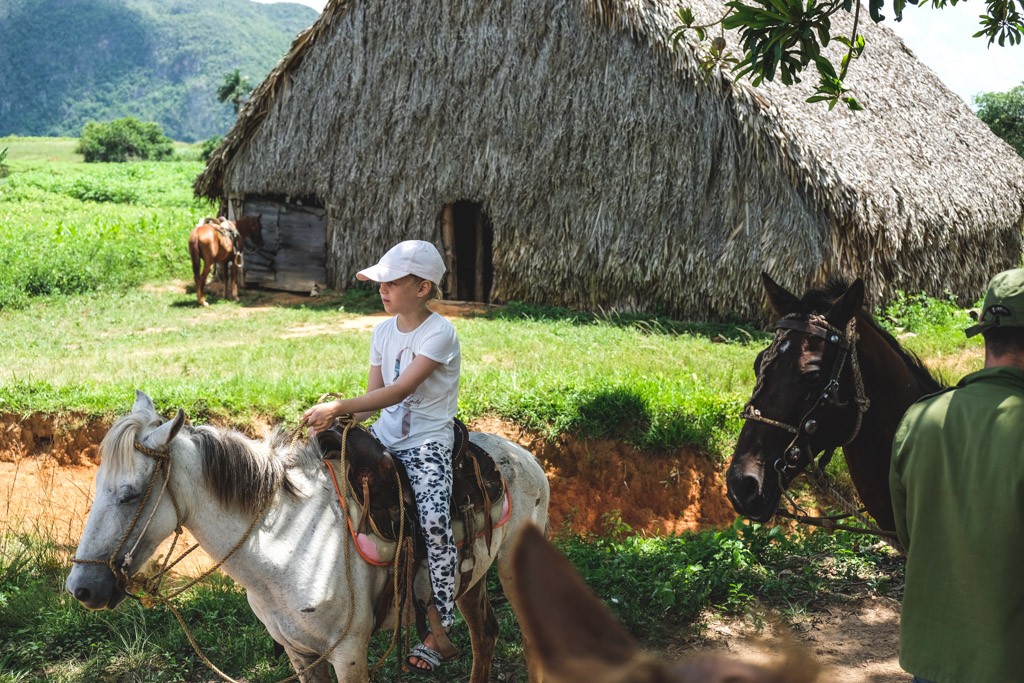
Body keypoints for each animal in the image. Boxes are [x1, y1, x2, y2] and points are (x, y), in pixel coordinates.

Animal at [67, 393, 548, 679]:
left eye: (130, 494)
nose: (81, 589)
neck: (288, 542)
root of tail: (521, 453)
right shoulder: (300, 653)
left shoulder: (349, 653)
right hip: (472, 578)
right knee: (485, 634)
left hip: (512, 571)